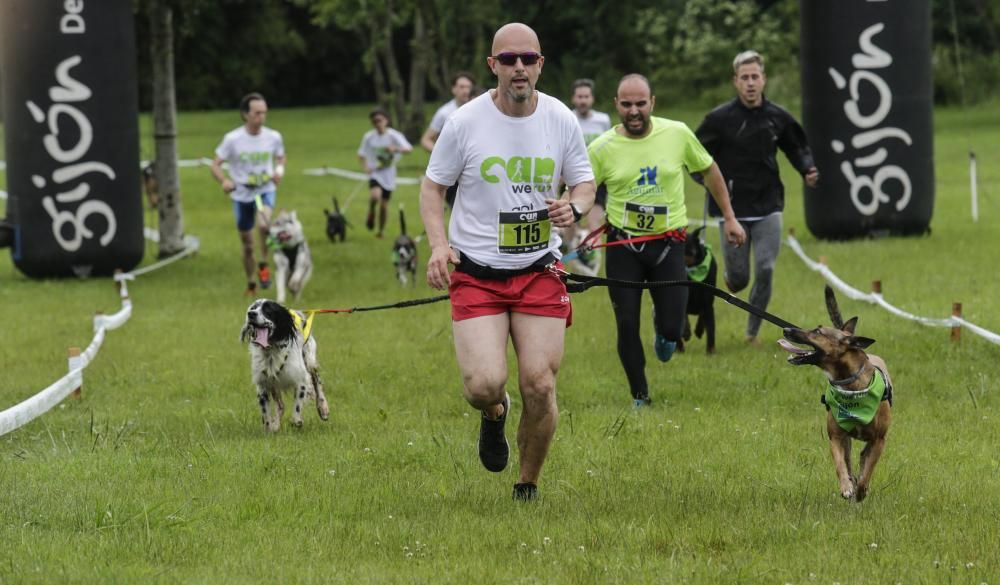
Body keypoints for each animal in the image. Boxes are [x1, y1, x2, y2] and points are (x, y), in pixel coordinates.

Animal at [240, 298, 330, 432]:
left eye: (268, 309)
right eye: (253, 307)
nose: (251, 314)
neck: (271, 351)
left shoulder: (301, 380)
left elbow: (297, 410)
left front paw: (297, 421)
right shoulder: (263, 385)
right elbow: (266, 415)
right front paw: (270, 427)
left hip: (309, 360)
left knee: (317, 381)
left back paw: (323, 408)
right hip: (274, 385)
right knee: (280, 405)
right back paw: (276, 424)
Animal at [776, 286, 896, 500]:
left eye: (817, 331)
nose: (786, 329)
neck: (851, 384)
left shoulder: (880, 440)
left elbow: (869, 469)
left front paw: (862, 490)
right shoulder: (837, 436)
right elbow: (841, 465)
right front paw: (847, 487)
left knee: (864, 458)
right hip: (847, 440)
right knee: (850, 461)